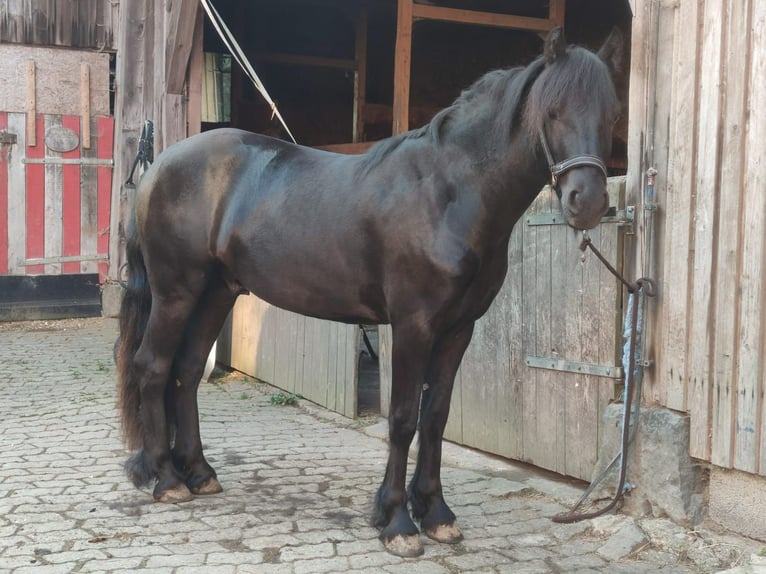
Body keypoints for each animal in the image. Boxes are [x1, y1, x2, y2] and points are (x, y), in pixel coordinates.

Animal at [116, 27, 622, 557]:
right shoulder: (412, 327)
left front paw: (436, 514)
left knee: (188, 371)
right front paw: (397, 521)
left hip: (217, 293)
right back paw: (167, 479)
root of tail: (159, 166)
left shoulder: (458, 329)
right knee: (152, 367)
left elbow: (435, 417)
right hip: (177, 292)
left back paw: (199, 473)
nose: (588, 202)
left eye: (612, 114)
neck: (447, 193)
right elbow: (402, 419)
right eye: (553, 111)